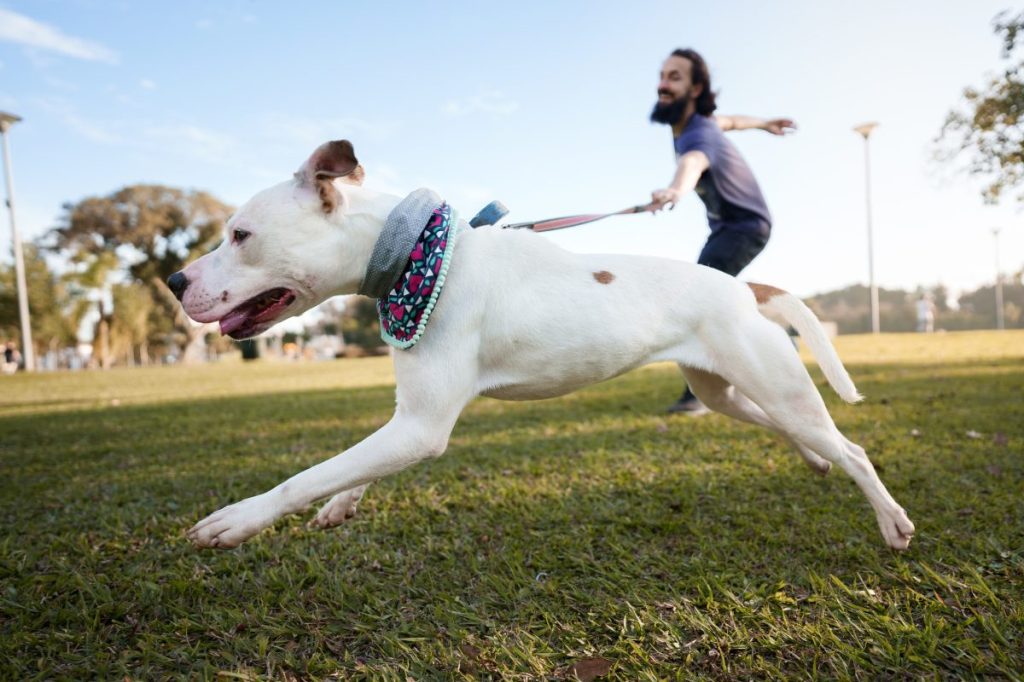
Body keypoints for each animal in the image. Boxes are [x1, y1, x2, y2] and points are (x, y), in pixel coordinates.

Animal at [167, 140, 913, 548]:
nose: (173, 280)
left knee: (851, 447)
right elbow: (351, 467)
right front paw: (341, 505)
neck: (417, 256)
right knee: (793, 431)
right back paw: (813, 463)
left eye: (240, 235)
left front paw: (239, 519)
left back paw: (891, 521)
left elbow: (308, 473)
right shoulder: (409, 421)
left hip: (775, 385)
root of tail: (744, 287)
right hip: (725, 390)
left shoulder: (420, 427)